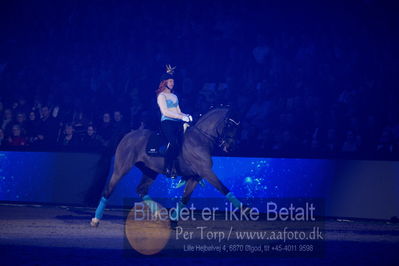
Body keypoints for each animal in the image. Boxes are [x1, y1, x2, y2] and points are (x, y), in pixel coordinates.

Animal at [91, 107, 242, 225]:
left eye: (238, 126)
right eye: (229, 125)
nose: (230, 147)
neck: (200, 140)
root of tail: (128, 135)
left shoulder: (195, 176)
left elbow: (185, 199)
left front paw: (173, 220)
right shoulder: (206, 171)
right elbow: (224, 189)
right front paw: (244, 209)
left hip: (150, 171)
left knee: (141, 190)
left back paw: (160, 213)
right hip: (122, 168)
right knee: (109, 189)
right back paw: (96, 219)